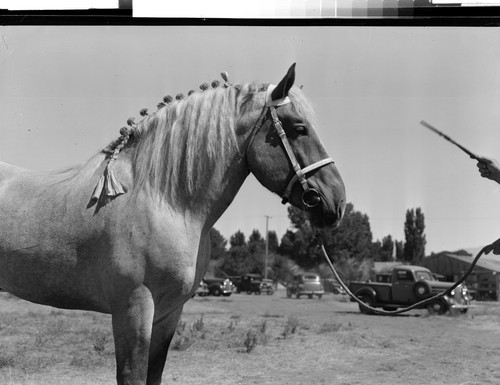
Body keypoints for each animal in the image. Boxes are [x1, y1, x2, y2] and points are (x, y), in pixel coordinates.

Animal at [0, 64, 344, 382]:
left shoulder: (169, 313)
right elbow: (133, 375)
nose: (336, 200)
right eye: (299, 127)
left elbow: (155, 373)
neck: (163, 200)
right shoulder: (134, 307)